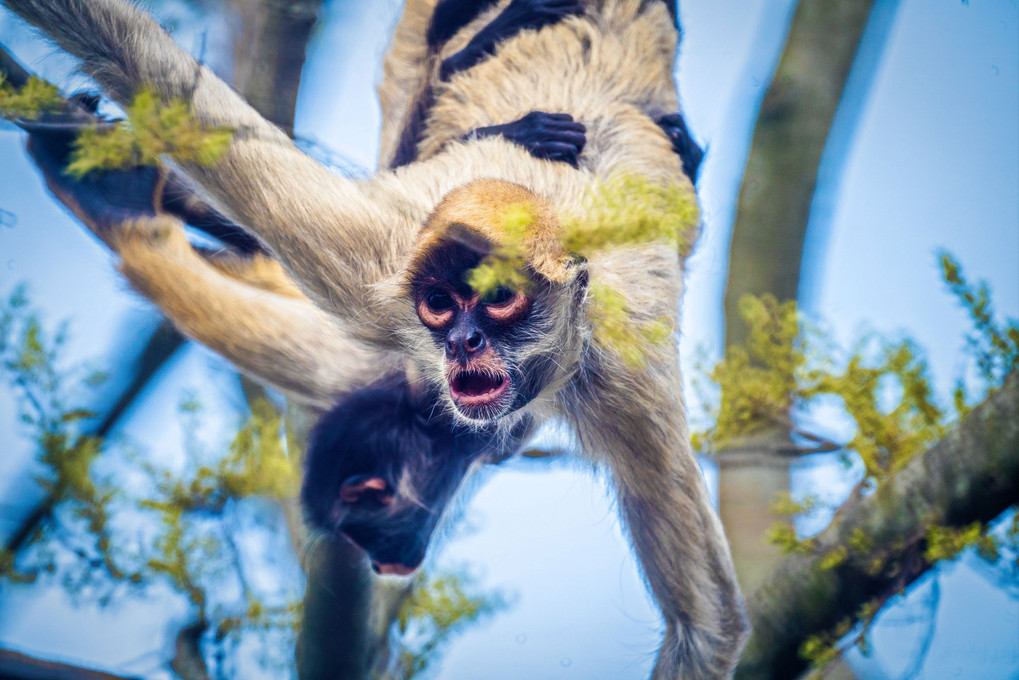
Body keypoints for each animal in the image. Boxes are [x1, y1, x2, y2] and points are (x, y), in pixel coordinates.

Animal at [5, 0, 749, 676]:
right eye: (441, 305)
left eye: (500, 301)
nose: (464, 342)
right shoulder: (380, 284)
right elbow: (155, 74)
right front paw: (115, 202)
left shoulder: (619, 379)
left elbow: (706, 628)